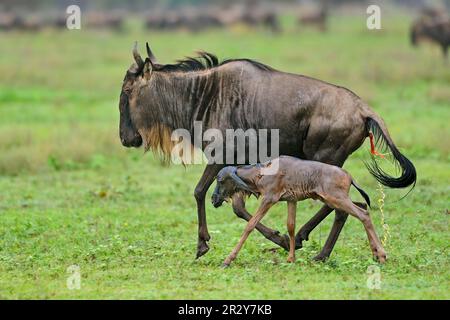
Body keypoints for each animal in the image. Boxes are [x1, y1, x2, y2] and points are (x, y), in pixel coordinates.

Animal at [212, 156, 386, 266]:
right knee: (362, 206)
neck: (262, 173)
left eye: (220, 180)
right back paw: (375, 254)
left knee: (363, 214)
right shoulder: (291, 200)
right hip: (335, 200)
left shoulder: (269, 199)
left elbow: (250, 225)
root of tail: (348, 176)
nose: (213, 199)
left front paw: (227, 260)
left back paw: (382, 255)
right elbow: (291, 226)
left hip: (336, 199)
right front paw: (291, 259)